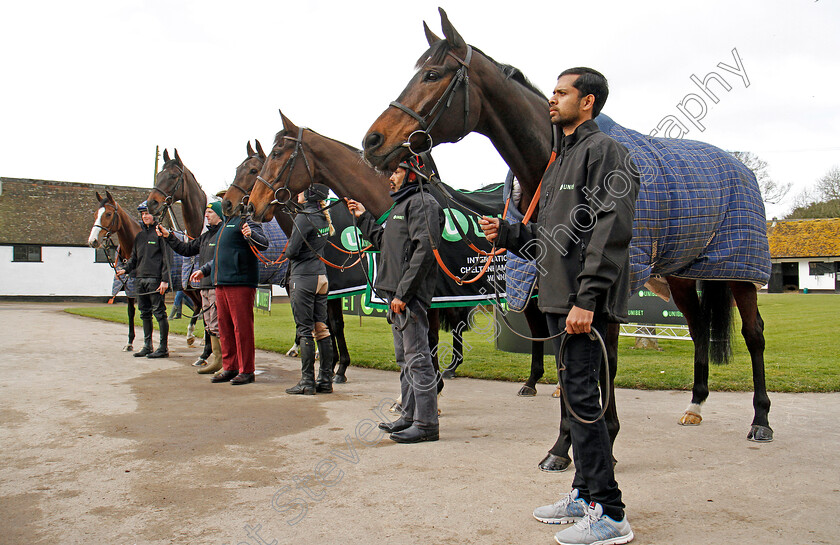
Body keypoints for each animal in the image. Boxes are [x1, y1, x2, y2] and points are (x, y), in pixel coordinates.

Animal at [88, 191, 141, 350]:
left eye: (109, 214)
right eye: (95, 214)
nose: (93, 241)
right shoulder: (129, 287)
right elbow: (131, 312)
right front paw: (129, 343)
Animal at [218, 140, 352, 382]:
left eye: (254, 170)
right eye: (238, 169)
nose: (227, 204)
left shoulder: (334, 288)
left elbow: (335, 324)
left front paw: (341, 367)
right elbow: (324, 323)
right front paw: (331, 363)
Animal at [360, 7, 776, 442]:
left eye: (431, 74)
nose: (373, 141)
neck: (551, 162)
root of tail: (739, 166)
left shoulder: (604, 291)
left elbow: (605, 358)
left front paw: (605, 430)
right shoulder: (550, 286)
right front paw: (570, 436)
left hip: (740, 273)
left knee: (754, 334)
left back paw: (761, 419)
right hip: (681, 273)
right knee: (697, 327)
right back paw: (695, 404)